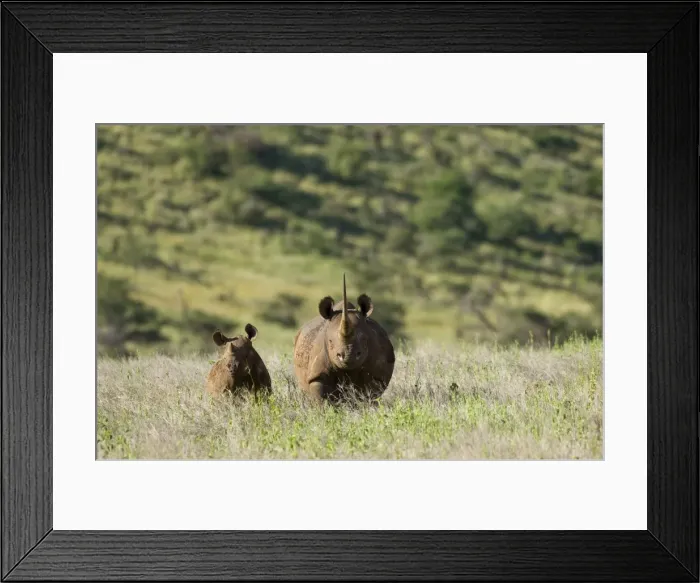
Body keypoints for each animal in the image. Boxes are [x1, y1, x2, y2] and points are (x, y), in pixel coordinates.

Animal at [293, 274, 395, 404]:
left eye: (364, 340)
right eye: (330, 342)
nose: (348, 356)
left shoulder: (376, 375)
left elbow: (369, 395)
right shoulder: (317, 374)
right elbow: (320, 398)